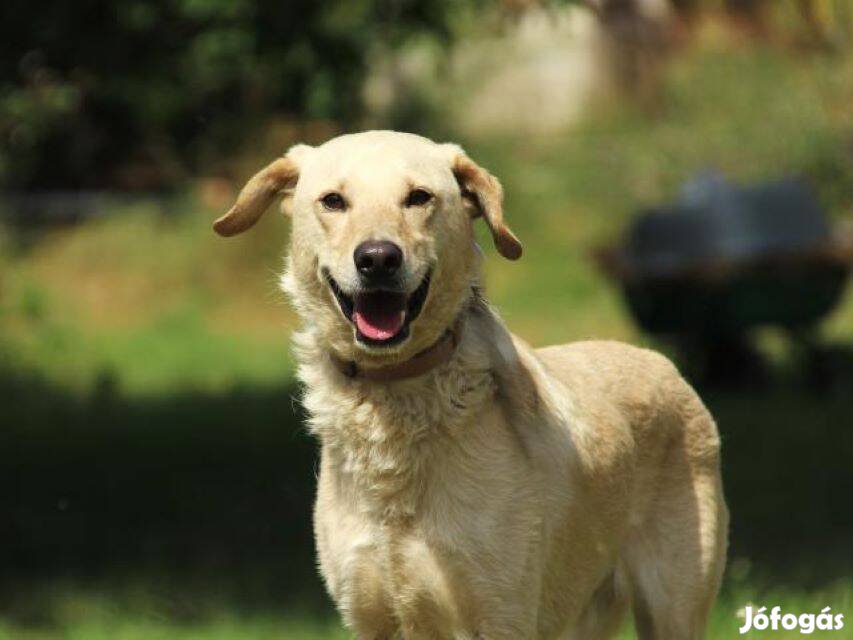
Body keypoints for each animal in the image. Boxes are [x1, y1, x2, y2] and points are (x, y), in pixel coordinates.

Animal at [213, 131, 724, 640]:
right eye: (333, 201)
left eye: (419, 197)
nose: (377, 259)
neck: (396, 396)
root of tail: (663, 363)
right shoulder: (370, 617)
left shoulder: (501, 613)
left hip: (671, 606)